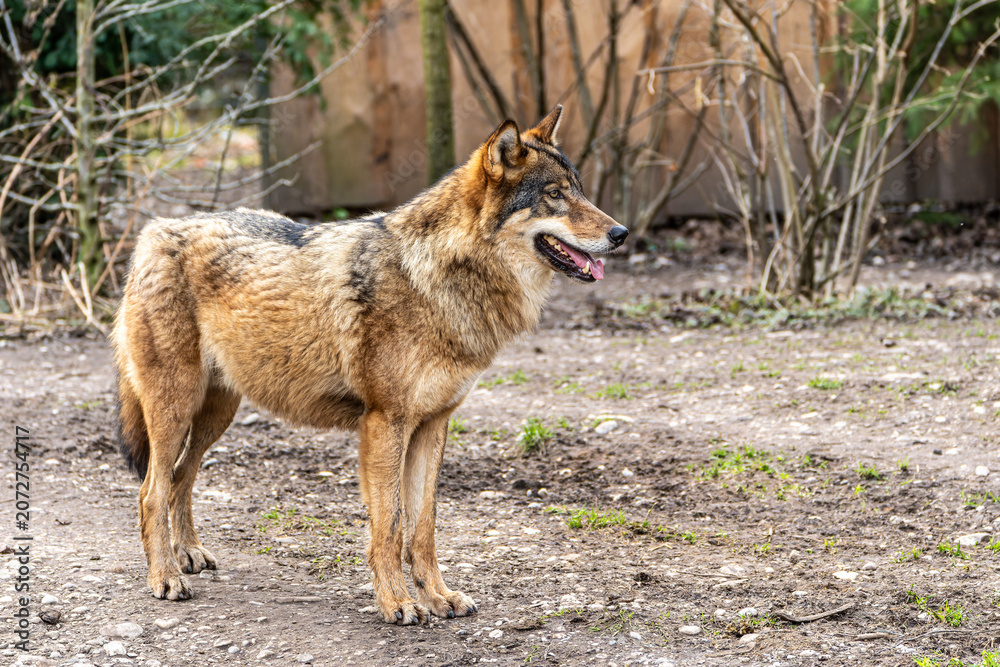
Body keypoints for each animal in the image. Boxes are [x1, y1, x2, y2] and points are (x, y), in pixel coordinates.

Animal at [112, 105, 628, 625]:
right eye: (555, 196)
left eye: (579, 189)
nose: (621, 234)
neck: (434, 277)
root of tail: (152, 232)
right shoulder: (385, 423)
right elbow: (390, 525)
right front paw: (397, 602)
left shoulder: (433, 425)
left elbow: (423, 526)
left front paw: (438, 596)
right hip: (176, 410)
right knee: (151, 490)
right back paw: (165, 577)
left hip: (216, 415)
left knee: (181, 477)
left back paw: (188, 555)